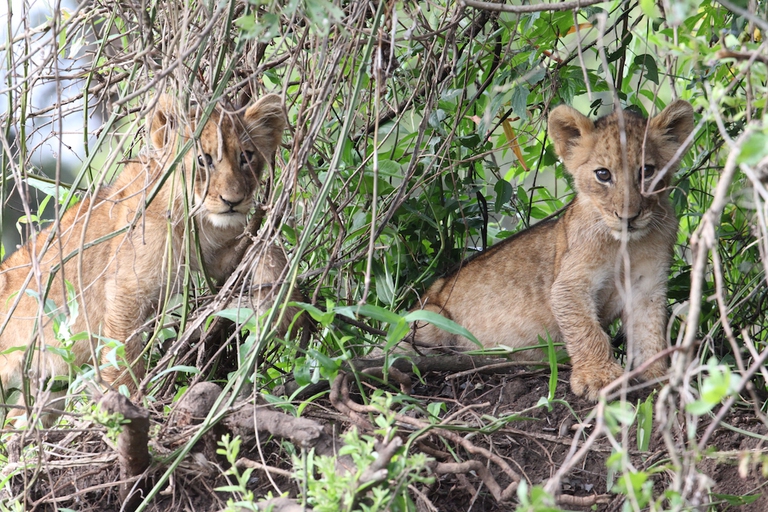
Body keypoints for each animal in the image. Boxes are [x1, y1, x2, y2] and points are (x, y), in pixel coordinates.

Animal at [0, 93, 305, 424]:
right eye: (203, 160)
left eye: (246, 157)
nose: (233, 201)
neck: (193, 218)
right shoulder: (125, 292)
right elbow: (123, 360)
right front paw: (131, 406)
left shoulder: (217, 254)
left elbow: (266, 246)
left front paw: (288, 309)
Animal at [411, 100, 694, 400]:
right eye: (603, 174)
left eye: (647, 171)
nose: (629, 217)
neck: (626, 246)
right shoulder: (569, 285)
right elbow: (587, 330)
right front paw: (598, 378)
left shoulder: (647, 286)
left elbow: (649, 332)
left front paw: (657, 376)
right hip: (430, 318)